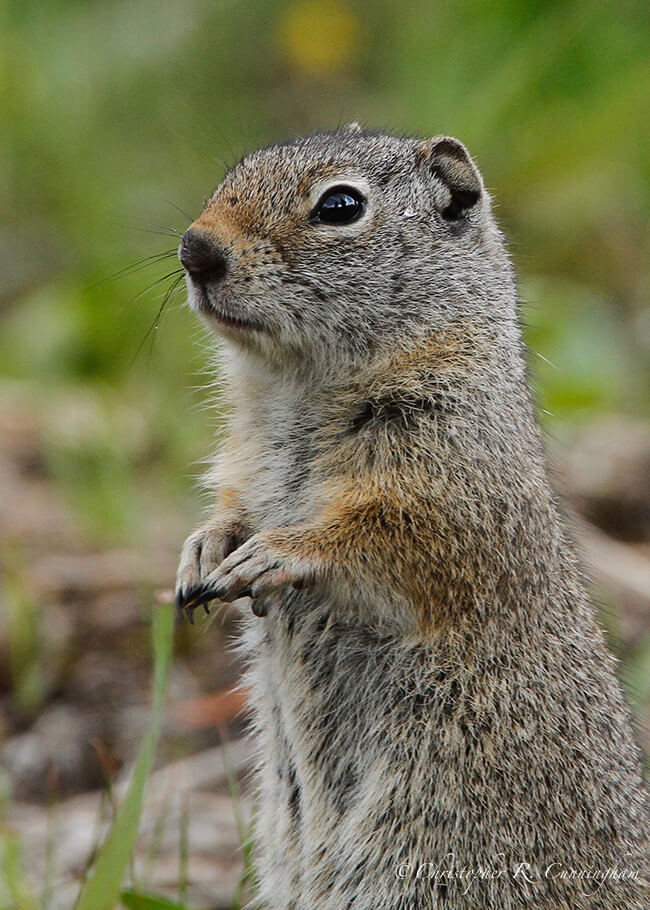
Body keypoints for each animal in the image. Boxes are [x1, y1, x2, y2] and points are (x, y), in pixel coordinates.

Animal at [175, 126, 644, 910]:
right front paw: (204, 551)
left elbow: (387, 539)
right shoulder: (246, 467)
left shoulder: (451, 479)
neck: (298, 386)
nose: (194, 249)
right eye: (232, 174)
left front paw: (277, 553)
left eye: (340, 205)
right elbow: (232, 510)